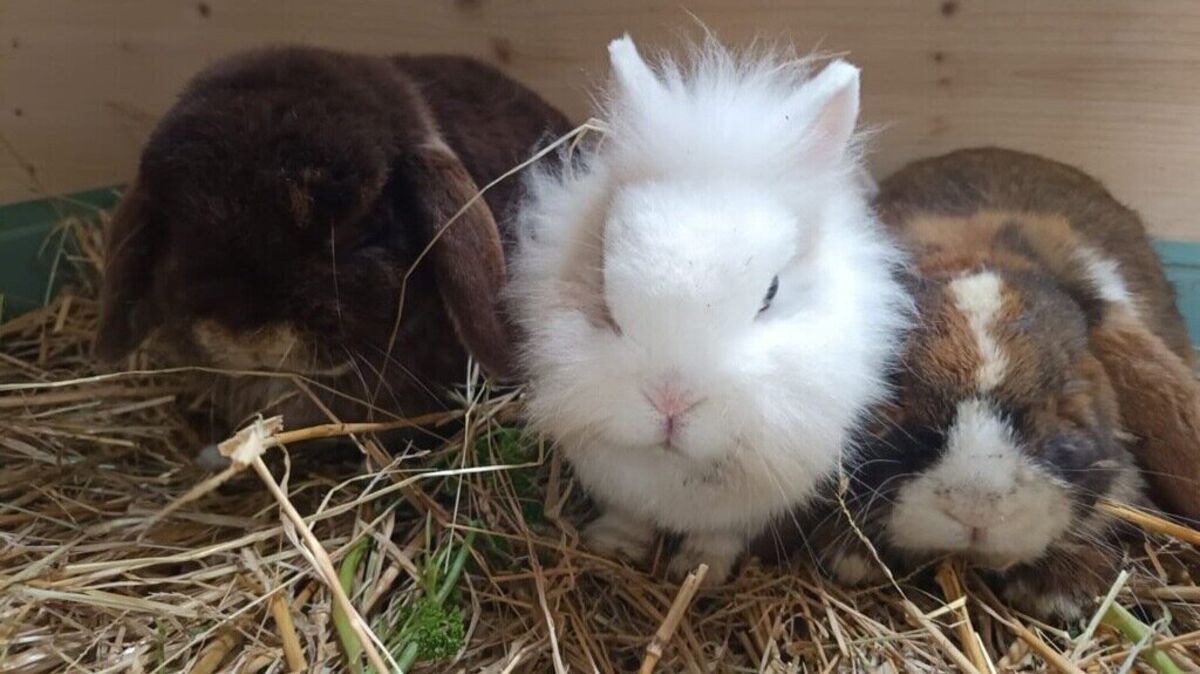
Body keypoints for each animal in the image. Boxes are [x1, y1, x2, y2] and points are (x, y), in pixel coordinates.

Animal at [507, 34, 911, 585]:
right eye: (604, 280)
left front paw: (697, 571)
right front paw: (614, 546)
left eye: (771, 293)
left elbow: (719, 537)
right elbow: (628, 516)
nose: (670, 401)